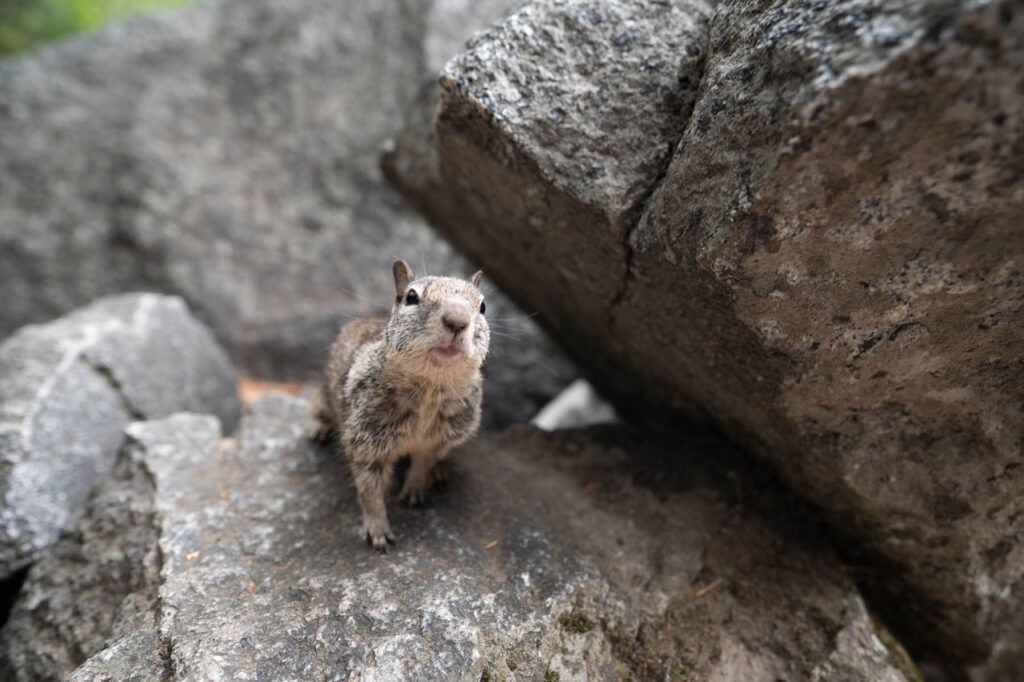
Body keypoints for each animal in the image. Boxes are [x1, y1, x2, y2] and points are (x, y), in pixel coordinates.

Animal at [307, 259, 489, 550]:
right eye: (411, 297)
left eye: (483, 306)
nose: (457, 321)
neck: (430, 387)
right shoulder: (366, 441)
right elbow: (369, 491)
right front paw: (377, 530)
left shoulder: (437, 438)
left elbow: (423, 462)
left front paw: (415, 488)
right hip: (325, 393)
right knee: (317, 406)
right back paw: (317, 428)